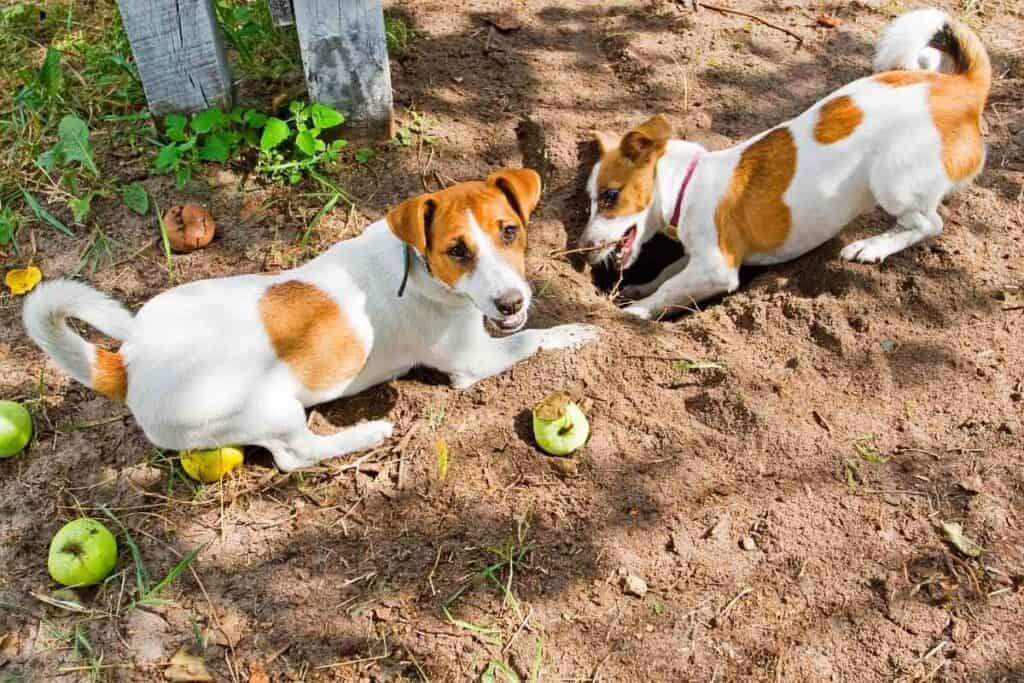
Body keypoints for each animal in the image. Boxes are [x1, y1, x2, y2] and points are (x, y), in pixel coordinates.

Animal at [22, 167, 598, 473]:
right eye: (457, 251)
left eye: (509, 231)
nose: (510, 303)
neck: (415, 264)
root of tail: (127, 363)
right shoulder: (471, 361)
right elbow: (533, 341)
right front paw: (573, 333)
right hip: (268, 407)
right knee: (294, 455)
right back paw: (366, 434)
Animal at [581, 9, 987, 321]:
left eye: (610, 196)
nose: (582, 249)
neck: (689, 183)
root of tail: (961, 89)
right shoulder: (701, 258)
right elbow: (668, 271)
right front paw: (640, 289)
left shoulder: (716, 268)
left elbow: (669, 289)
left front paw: (637, 311)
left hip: (893, 180)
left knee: (928, 224)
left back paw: (871, 247)